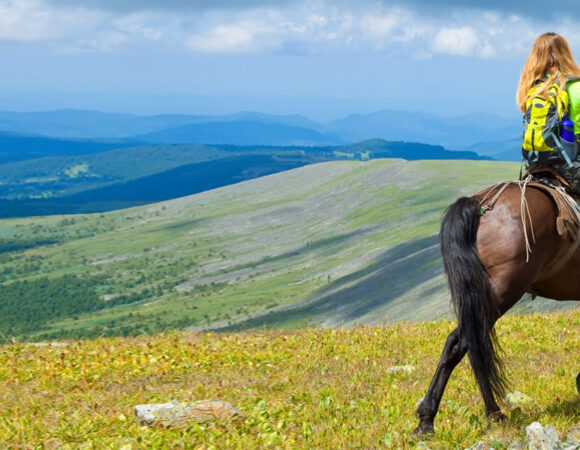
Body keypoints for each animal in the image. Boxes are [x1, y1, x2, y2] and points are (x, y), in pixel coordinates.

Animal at [414, 177, 576, 436]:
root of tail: (480, 203)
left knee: (464, 344)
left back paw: (427, 420)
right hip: (501, 292)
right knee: (465, 343)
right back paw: (492, 413)